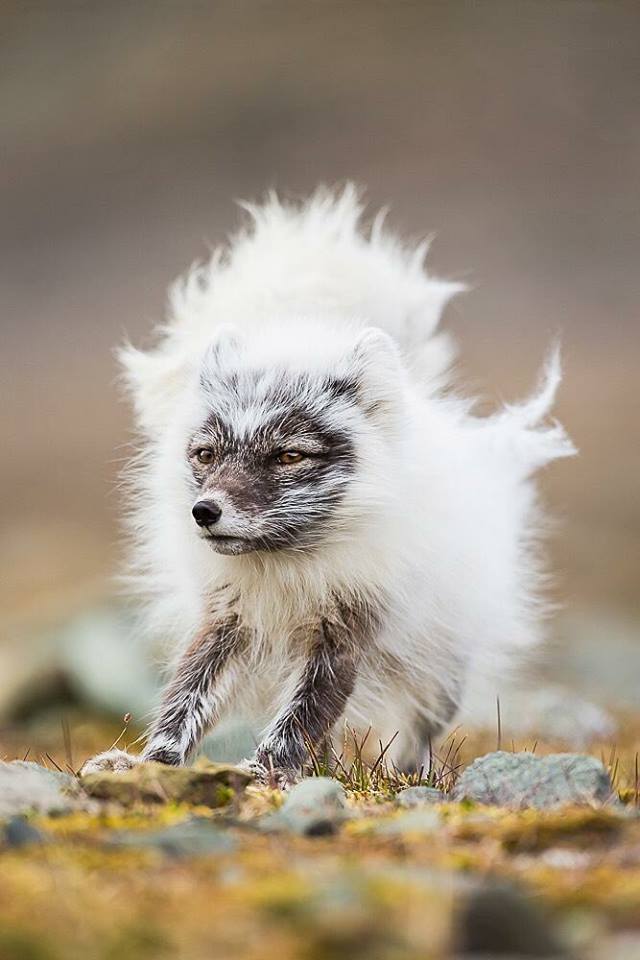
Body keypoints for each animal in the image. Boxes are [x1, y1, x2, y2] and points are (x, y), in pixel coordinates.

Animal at [81, 185, 575, 785]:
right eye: (206, 454)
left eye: (290, 455)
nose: (204, 511)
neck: (288, 568)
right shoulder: (227, 620)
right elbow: (185, 699)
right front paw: (149, 765)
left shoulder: (345, 634)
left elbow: (300, 717)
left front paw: (262, 774)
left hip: (439, 664)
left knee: (418, 723)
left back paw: (409, 775)